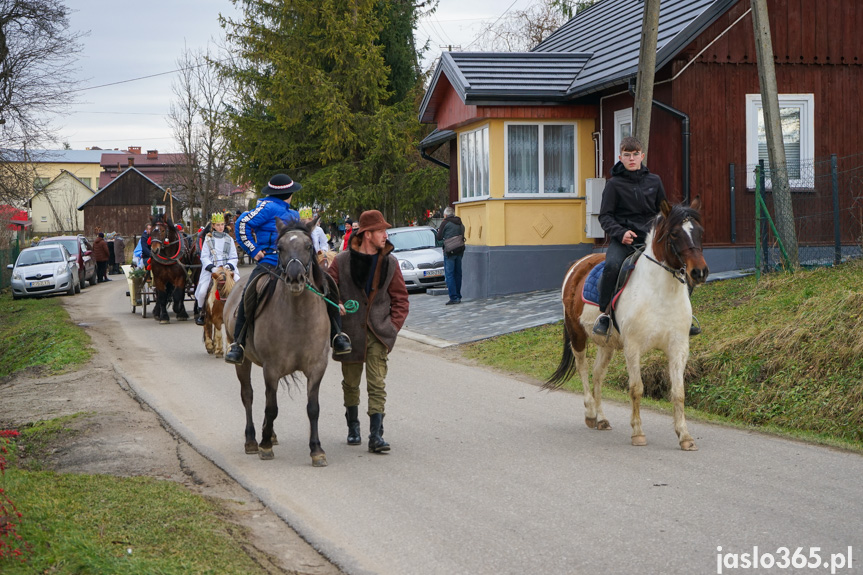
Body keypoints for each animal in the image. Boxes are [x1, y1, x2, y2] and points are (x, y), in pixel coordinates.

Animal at [223, 218, 330, 466]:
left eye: (309, 246)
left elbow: (313, 408)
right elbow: (271, 408)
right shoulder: (271, 369)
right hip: (243, 361)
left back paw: (269, 433)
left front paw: (316, 449)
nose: (295, 278)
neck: (299, 316)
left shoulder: (317, 367)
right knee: (248, 395)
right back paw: (252, 439)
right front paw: (264, 446)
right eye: (279, 248)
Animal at [548, 200, 708, 452]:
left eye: (700, 231)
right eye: (674, 233)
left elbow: (678, 392)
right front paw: (638, 433)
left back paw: (602, 419)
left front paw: (685, 436)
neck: (660, 294)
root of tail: (578, 265)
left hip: (607, 344)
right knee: (583, 369)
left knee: (597, 374)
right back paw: (591, 414)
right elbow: (636, 388)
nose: (699, 272)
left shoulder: (678, 347)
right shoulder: (633, 347)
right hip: (577, 334)